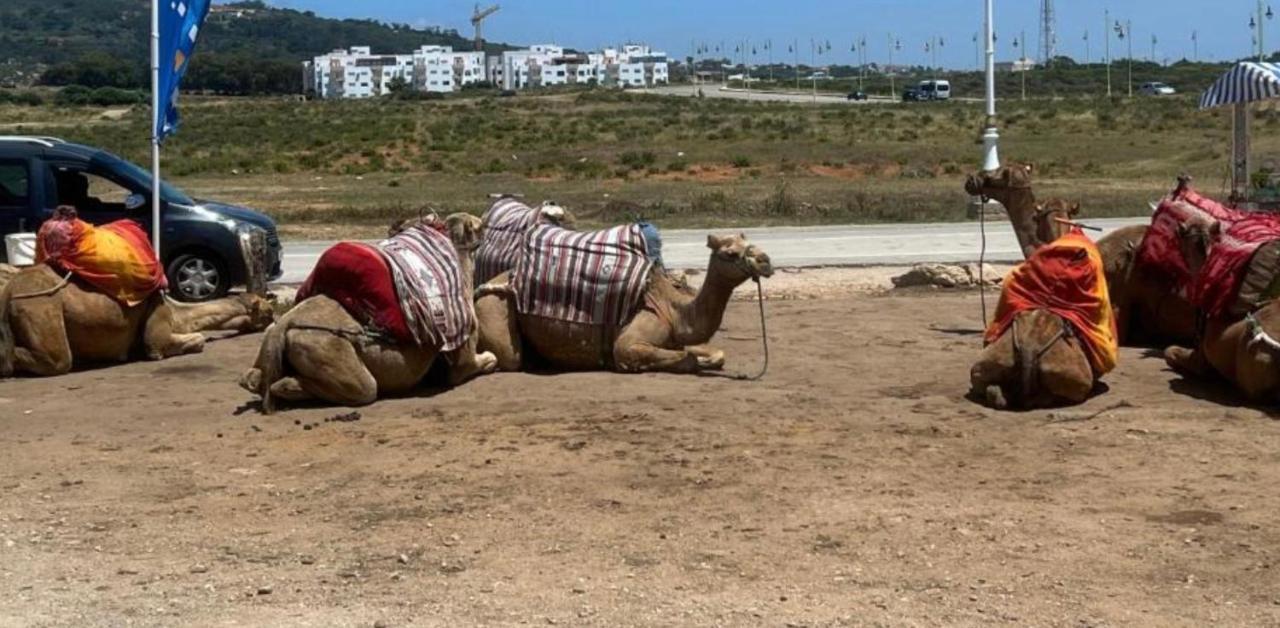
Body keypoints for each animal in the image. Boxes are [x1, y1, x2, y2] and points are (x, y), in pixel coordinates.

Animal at [1, 266, 272, 378]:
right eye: (266, 309)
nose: (272, 315)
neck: (177, 310)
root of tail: (9, 290)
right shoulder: (158, 322)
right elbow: (194, 340)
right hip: (40, 304)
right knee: (57, 358)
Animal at [238, 213, 496, 414]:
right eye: (479, 225)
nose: (486, 223)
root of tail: (284, 325)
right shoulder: (463, 349)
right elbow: (483, 360)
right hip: (330, 349)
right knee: (365, 389)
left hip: (273, 337)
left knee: (252, 378)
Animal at [478, 235, 768, 373]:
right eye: (730, 253)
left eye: (750, 242)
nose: (765, 260)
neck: (672, 309)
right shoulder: (629, 342)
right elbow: (684, 359)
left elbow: (716, 353)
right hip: (494, 304)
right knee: (510, 357)